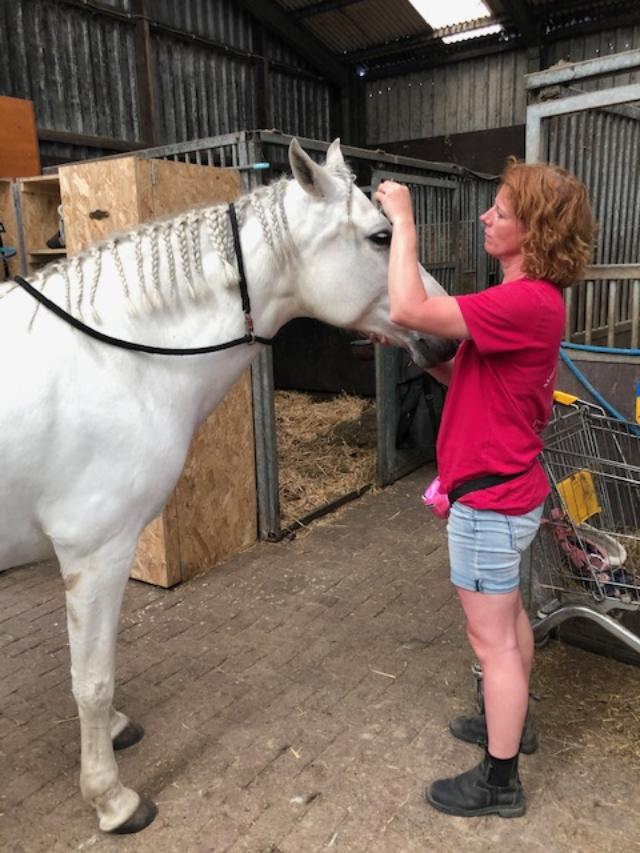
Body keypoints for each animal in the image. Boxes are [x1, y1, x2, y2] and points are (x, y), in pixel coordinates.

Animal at [0, 139, 457, 834]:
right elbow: (91, 678)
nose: (447, 336)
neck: (116, 357)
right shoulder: (94, 550)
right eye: (383, 237)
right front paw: (111, 798)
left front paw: (114, 733)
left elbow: (94, 666)